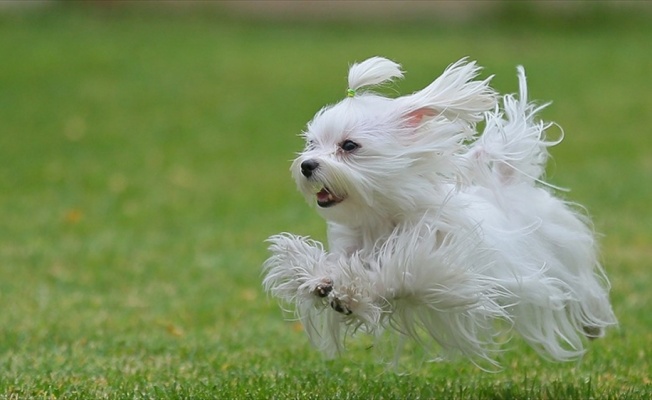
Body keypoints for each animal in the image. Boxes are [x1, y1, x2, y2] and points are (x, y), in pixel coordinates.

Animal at [262, 56, 616, 366]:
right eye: (311, 143)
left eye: (349, 146)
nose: (307, 165)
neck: (380, 217)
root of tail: (507, 184)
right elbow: (326, 265)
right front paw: (316, 277)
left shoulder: (436, 262)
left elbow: (395, 273)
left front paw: (352, 292)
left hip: (560, 257)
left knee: (582, 289)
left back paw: (593, 323)